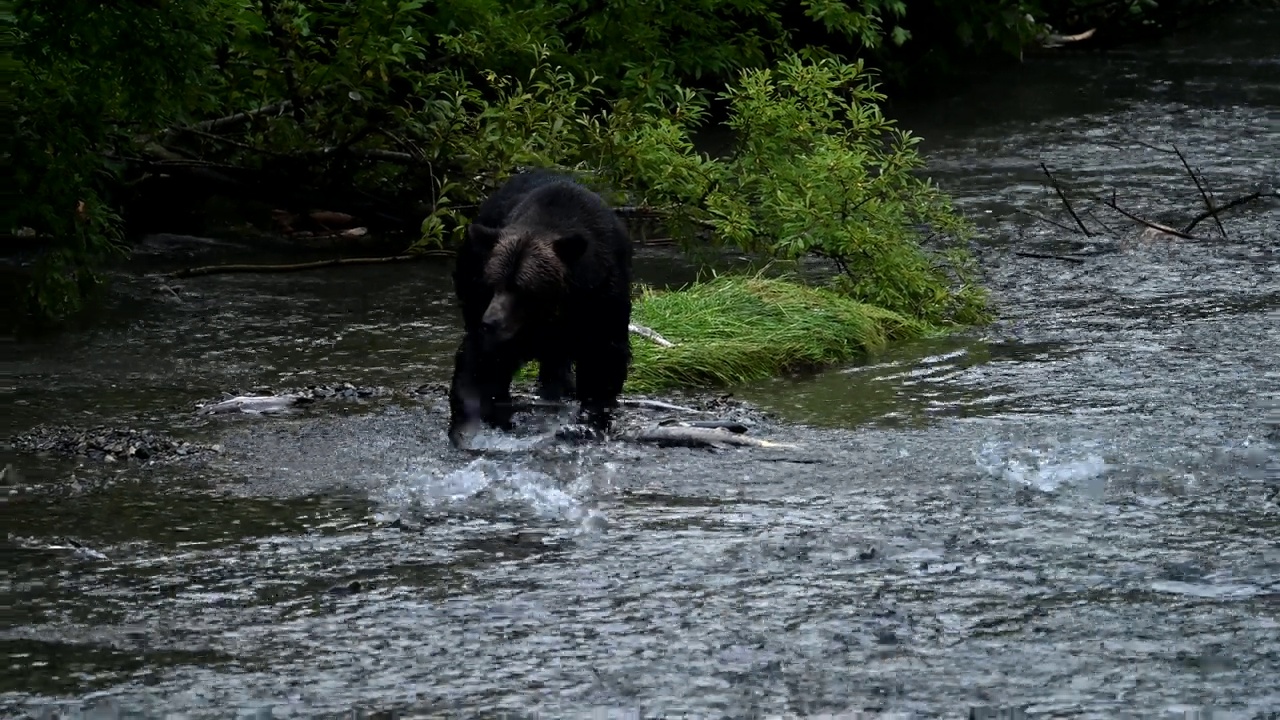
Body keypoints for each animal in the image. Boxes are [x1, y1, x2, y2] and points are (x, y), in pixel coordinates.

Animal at [445, 170, 634, 445]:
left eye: (522, 288)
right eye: (493, 283)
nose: (490, 322)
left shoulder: (601, 298)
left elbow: (603, 360)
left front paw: (589, 424)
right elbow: (481, 364)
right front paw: (472, 426)